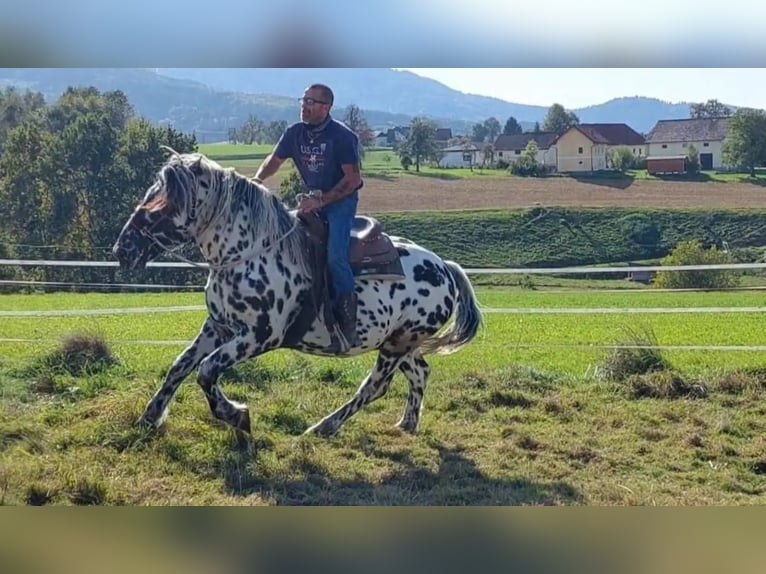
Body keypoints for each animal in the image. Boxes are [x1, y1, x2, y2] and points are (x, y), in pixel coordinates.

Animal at [111, 151, 484, 438]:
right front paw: (149, 416)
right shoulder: (217, 326)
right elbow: (180, 366)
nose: (122, 249)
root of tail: (444, 267)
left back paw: (324, 427)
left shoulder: (259, 336)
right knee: (419, 372)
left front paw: (237, 415)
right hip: (400, 342)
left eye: (161, 205)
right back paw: (406, 424)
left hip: (396, 345)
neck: (248, 252)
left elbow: (206, 370)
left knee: (375, 386)